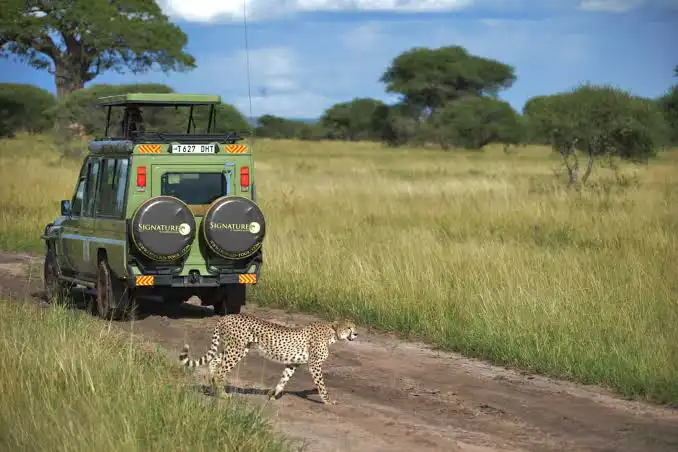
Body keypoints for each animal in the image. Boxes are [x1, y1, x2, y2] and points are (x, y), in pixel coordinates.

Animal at [179, 313, 358, 405]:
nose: (356, 334)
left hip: (237, 348)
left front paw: (273, 395)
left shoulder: (293, 363)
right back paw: (223, 394)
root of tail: (227, 316)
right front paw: (328, 401)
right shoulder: (314, 364)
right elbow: (321, 385)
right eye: (349, 327)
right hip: (236, 349)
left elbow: (284, 379)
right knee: (221, 370)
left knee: (215, 361)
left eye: (354, 326)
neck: (332, 334)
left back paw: (213, 386)